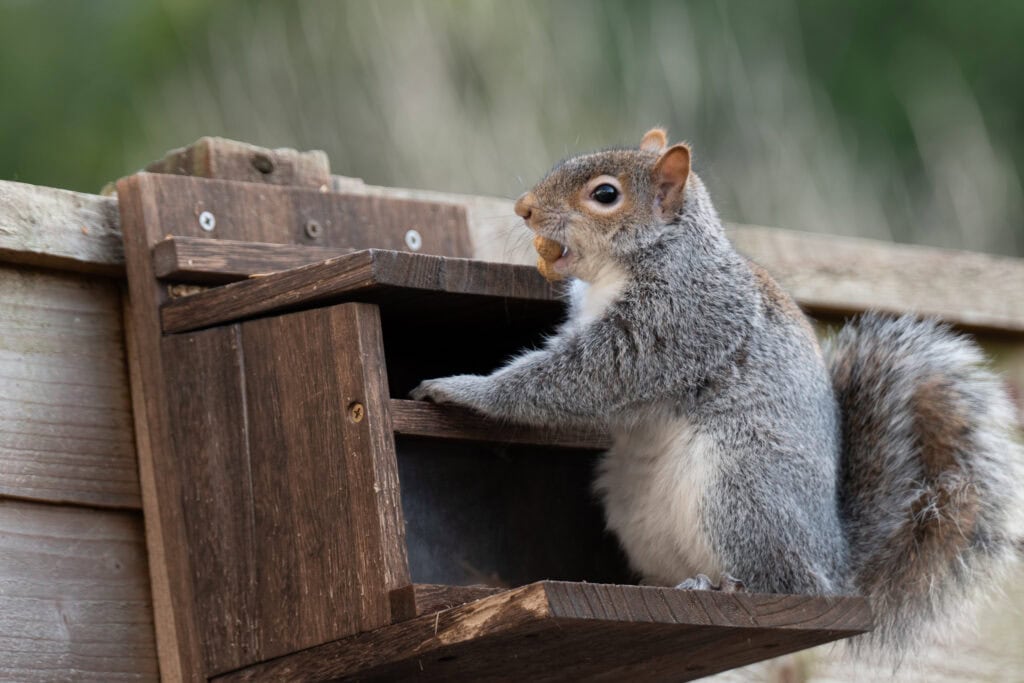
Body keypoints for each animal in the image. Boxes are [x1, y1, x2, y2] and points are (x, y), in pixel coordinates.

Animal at [411, 128, 1024, 654]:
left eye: (605, 195)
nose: (524, 209)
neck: (642, 258)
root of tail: (836, 563)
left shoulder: (675, 320)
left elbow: (582, 378)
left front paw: (465, 390)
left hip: (740, 486)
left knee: (784, 581)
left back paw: (731, 586)